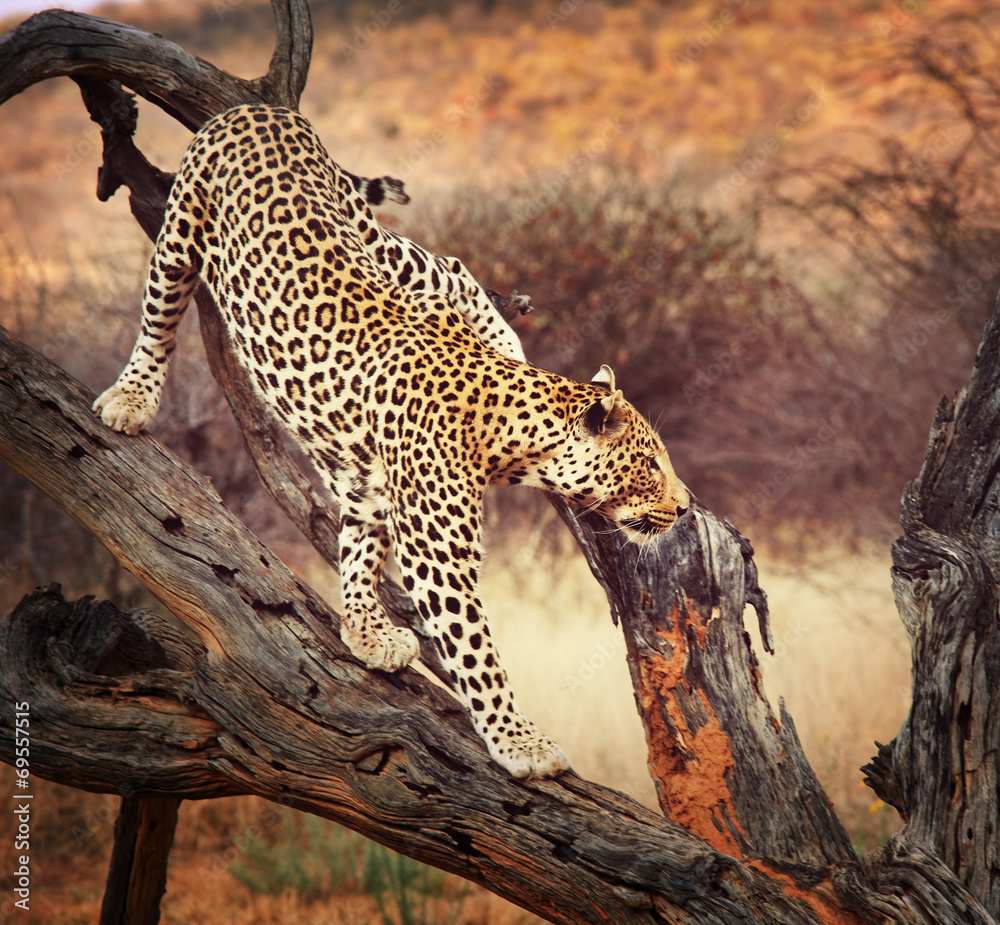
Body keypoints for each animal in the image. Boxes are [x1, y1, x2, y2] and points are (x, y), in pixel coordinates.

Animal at [93, 104, 690, 779]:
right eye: (650, 464)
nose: (684, 507)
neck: (509, 429)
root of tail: (259, 108)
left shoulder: (379, 481)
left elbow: (362, 547)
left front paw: (368, 632)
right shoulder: (441, 557)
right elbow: (477, 654)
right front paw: (521, 744)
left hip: (370, 235)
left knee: (446, 266)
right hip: (181, 232)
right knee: (159, 313)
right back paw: (131, 397)